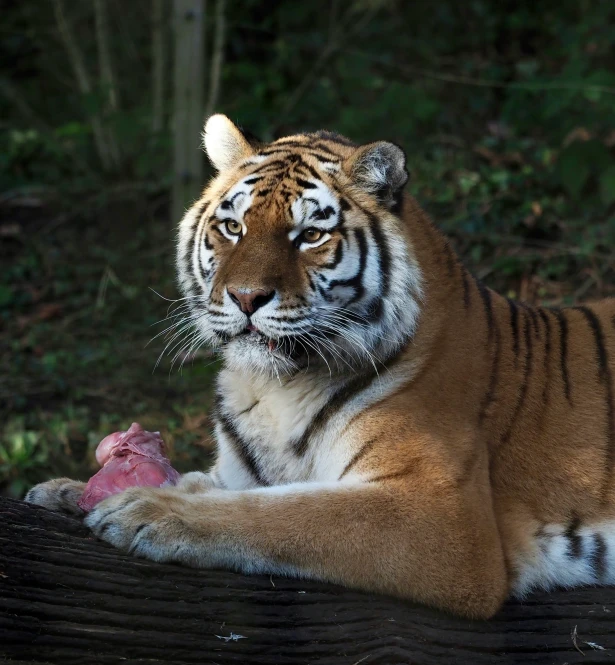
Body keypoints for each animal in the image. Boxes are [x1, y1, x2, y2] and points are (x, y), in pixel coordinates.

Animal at [26, 114, 615, 616]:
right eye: (233, 227)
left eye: (309, 235)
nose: (246, 297)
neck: (273, 389)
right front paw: (68, 490)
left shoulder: (442, 515)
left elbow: (285, 511)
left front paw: (146, 509)